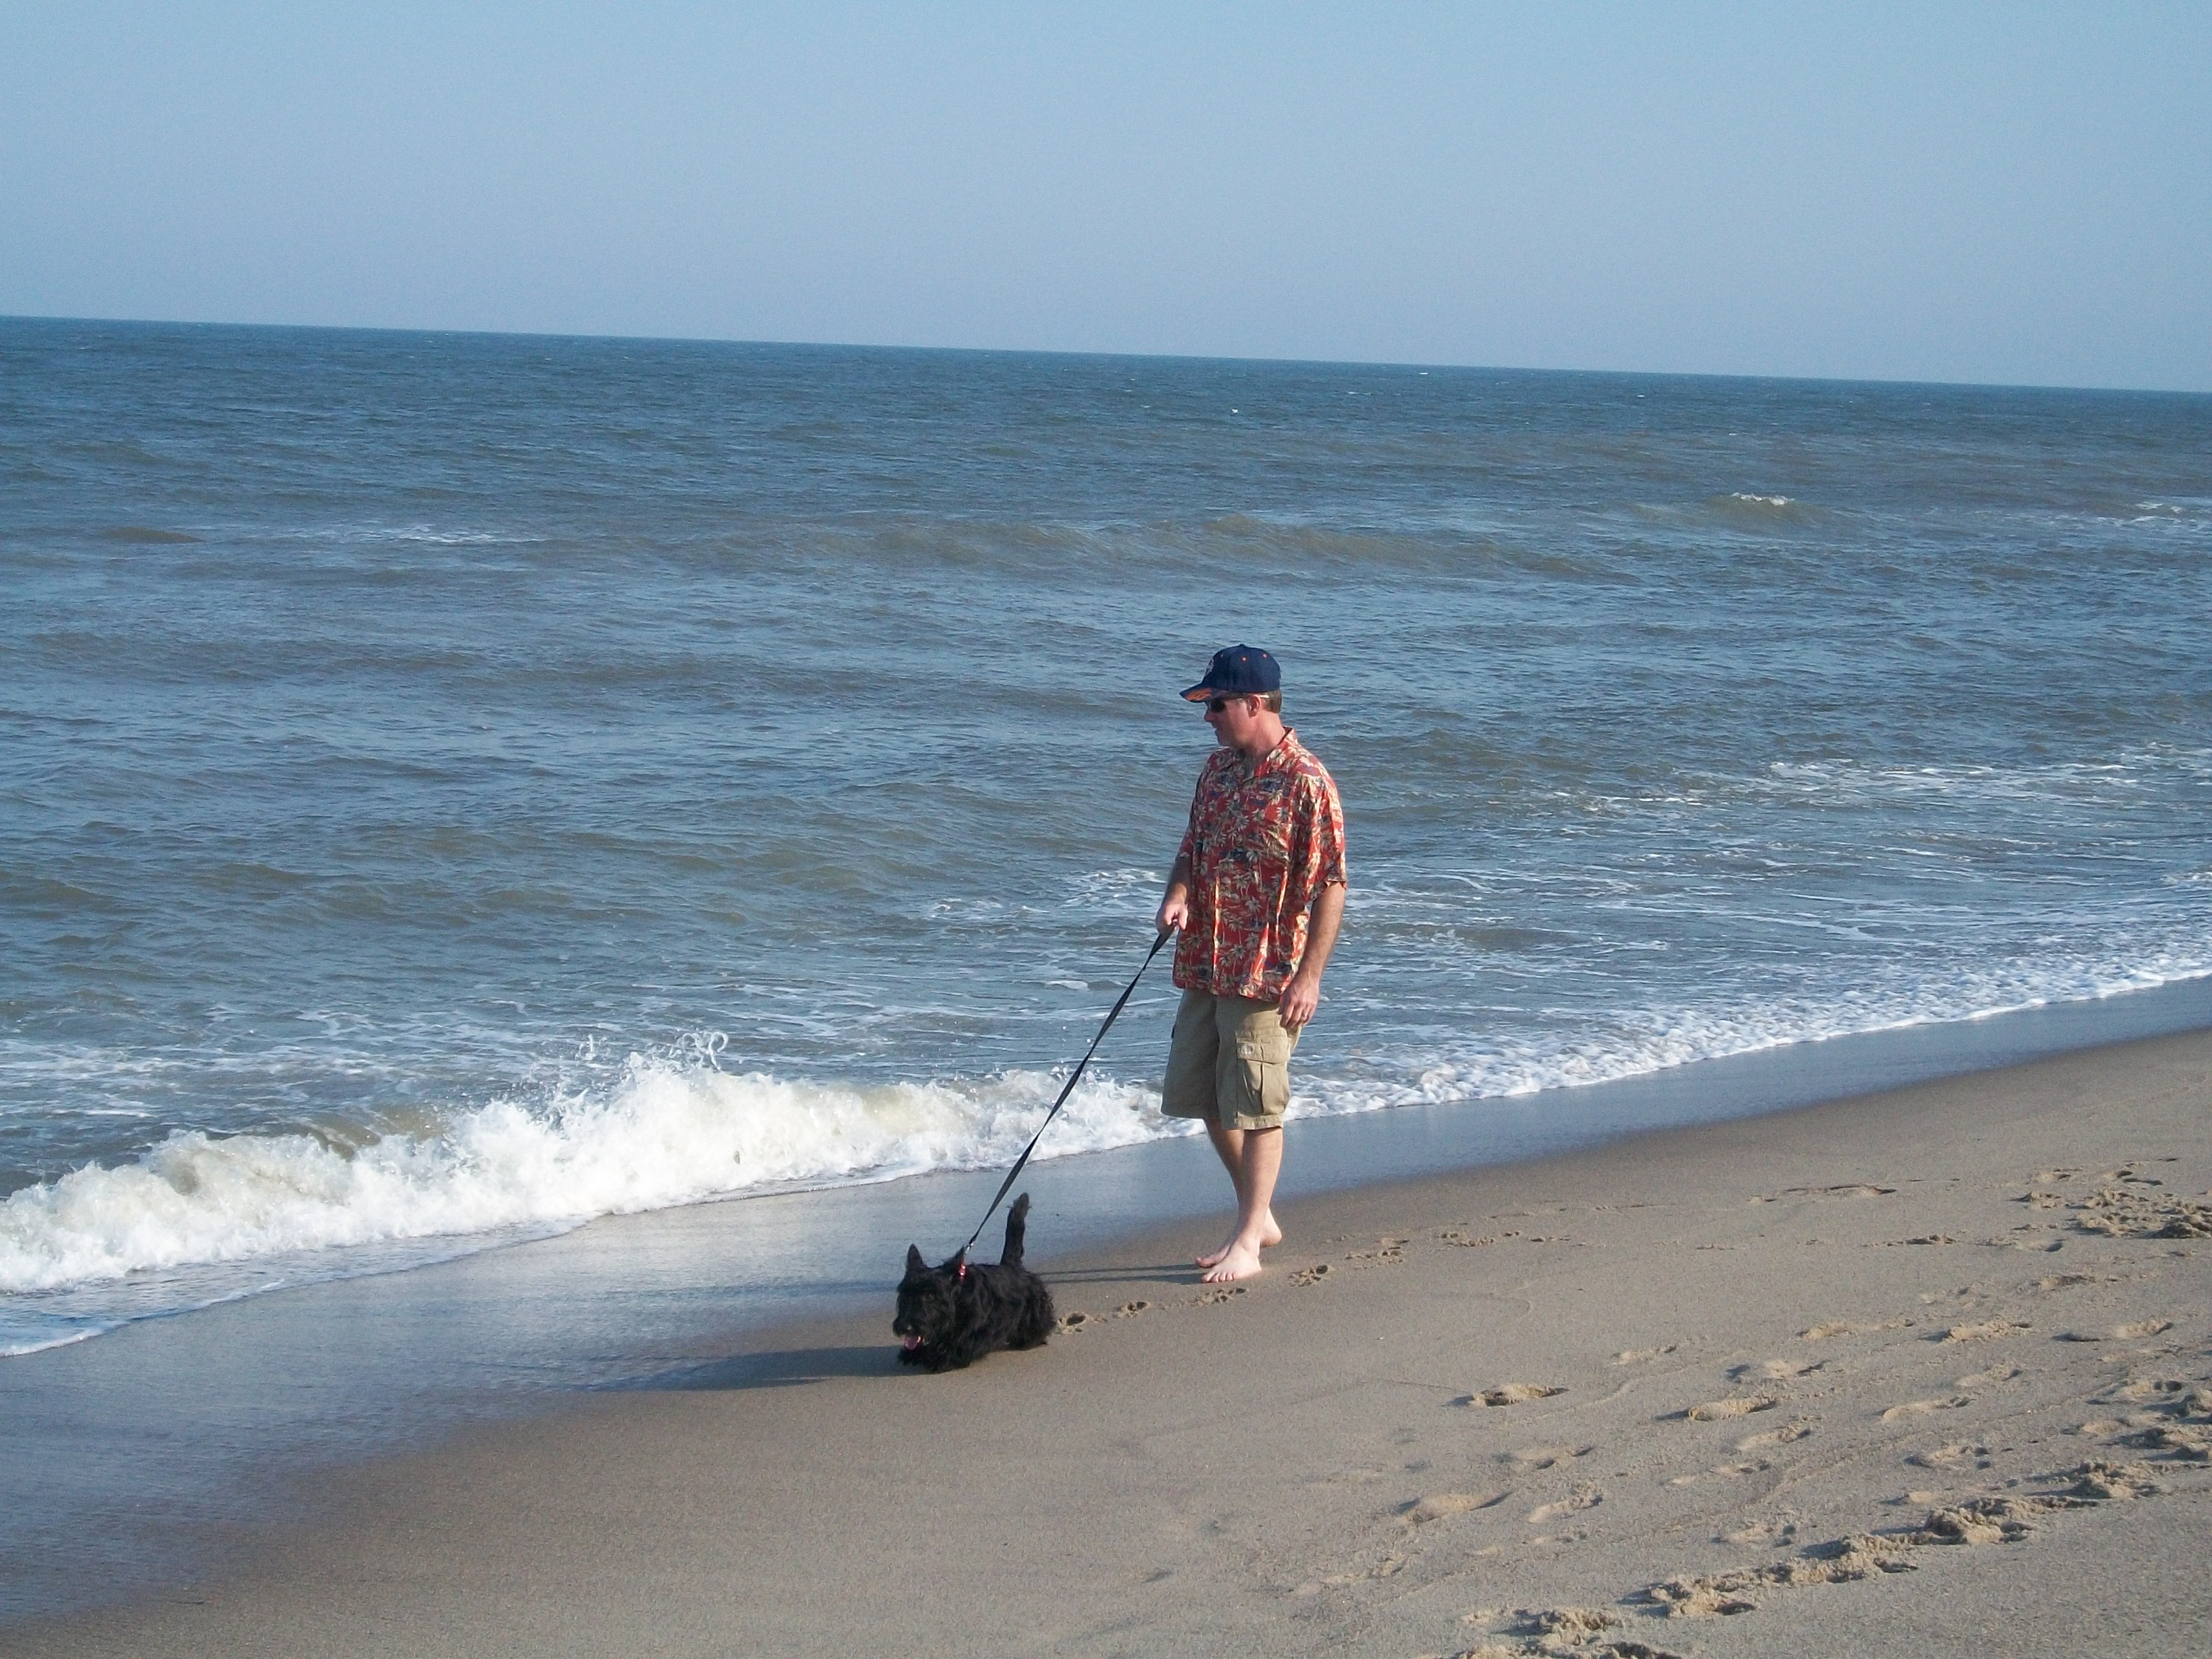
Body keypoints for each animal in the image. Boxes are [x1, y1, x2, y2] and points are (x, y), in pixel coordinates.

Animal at [894, 1193, 1055, 1372]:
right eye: (906, 1295)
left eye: (930, 1295)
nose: (905, 1327)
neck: (957, 1300)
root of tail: (1012, 1266)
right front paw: (913, 1353)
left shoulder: (973, 1332)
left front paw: (941, 1358)